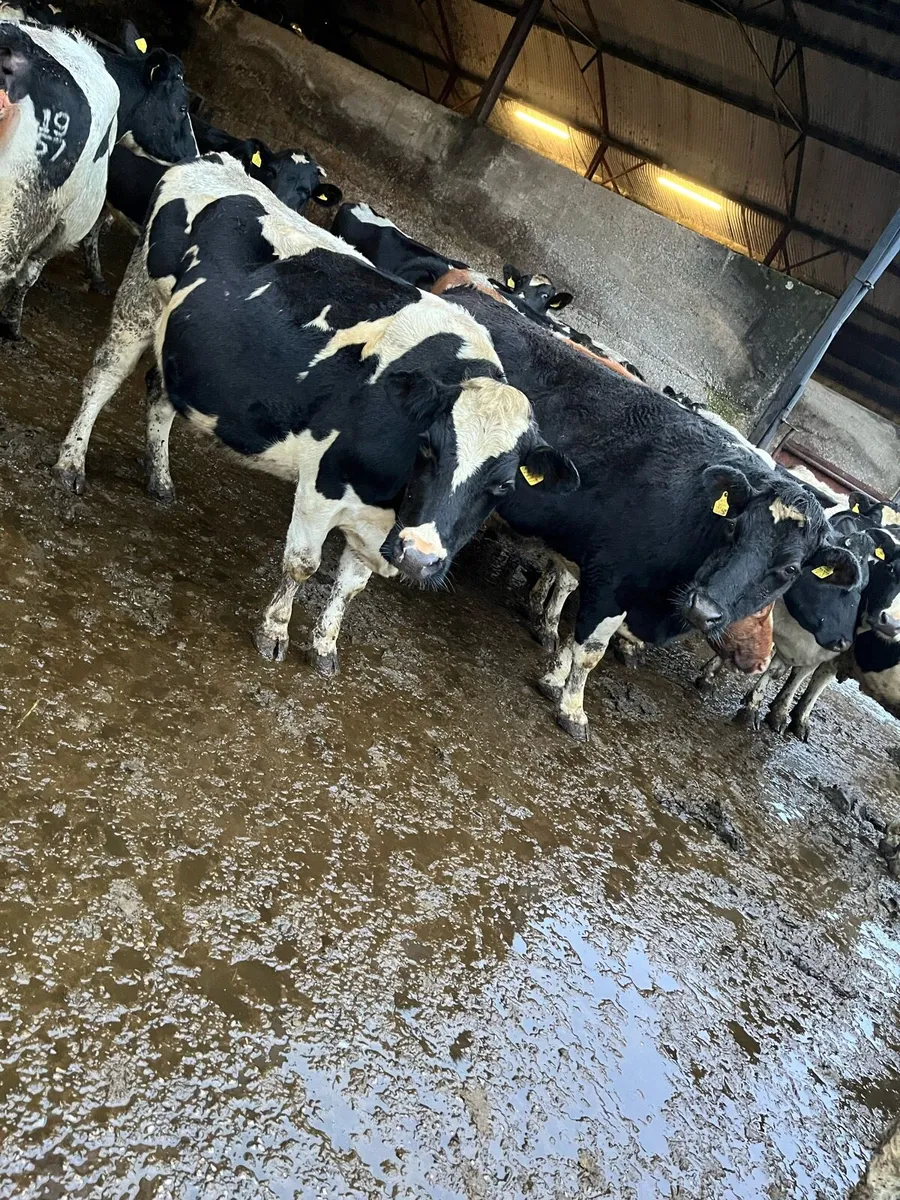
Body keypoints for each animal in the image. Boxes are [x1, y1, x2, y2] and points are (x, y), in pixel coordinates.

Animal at [54, 154, 578, 671]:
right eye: (430, 448)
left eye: (503, 485)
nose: (420, 556)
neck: (392, 496)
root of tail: (210, 159)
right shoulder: (321, 486)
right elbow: (303, 564)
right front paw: (274, 632)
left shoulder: (378, 524)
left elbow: (351, 587)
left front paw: (325, 646)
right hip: (141, 301)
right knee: (103, 378)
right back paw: (70, 464)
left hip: (186, 346)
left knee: (160, 395)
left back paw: (160, 478)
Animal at [427, 279, 859, 739]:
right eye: (734, 529)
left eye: (790, 570)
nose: (704, 609)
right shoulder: (612, 580)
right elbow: (588, 650)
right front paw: (571, 707)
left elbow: (571, 634)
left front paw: (554, 678)